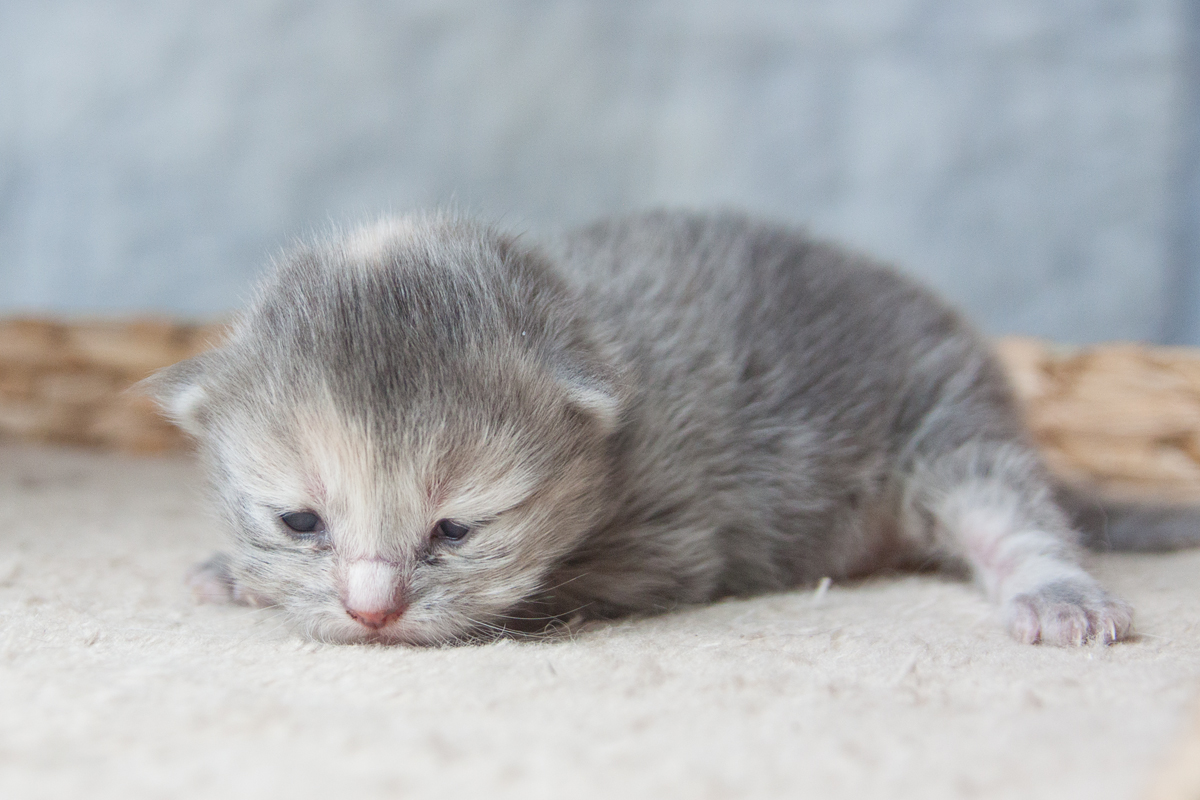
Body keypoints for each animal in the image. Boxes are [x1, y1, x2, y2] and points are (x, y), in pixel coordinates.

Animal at [145, 209, 1185, 647]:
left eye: (456, 530)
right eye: (301, 522)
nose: (372, 612)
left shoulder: (669, 542)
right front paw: (233, 572)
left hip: (943, 420)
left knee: (1008, 514)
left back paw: (1055, 591)